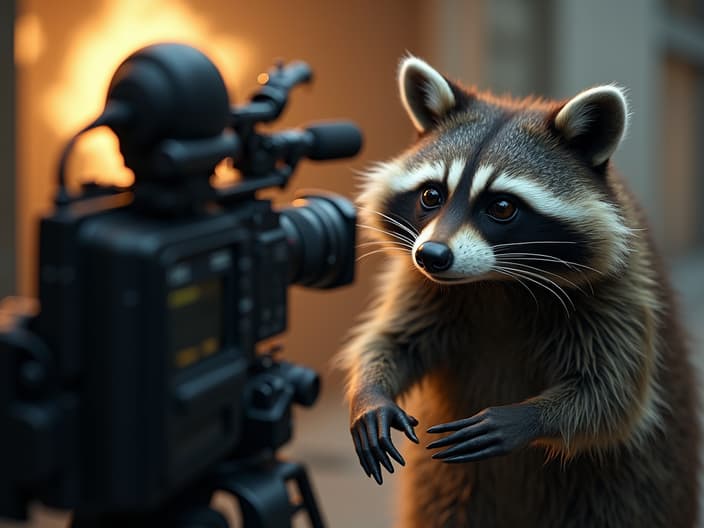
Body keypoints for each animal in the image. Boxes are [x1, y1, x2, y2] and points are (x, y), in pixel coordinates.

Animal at [338, 55, 700, 524]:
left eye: (502, 207)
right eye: (432, 195)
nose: (432, 256)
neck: (494, 280)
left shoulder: (623, 290)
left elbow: (614, 393)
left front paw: (525, 417)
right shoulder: (420, 283)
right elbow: (394, 340)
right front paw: (371, 392)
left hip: (622, 488)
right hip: (447, 485)